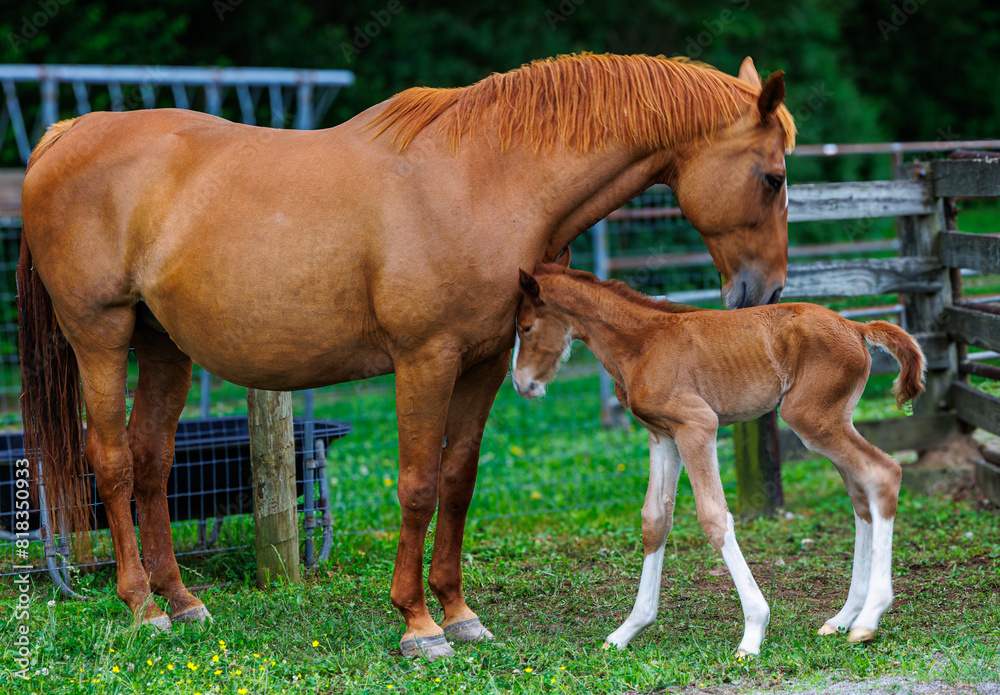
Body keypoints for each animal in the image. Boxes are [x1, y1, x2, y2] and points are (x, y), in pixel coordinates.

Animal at [18, 52, 795, 660]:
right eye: (774, 177)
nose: (765, 292)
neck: (486, 177)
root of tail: (64, 136)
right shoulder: (426, 360)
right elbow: (418, 485)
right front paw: (419, 624)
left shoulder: (484, 362)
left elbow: (457, 478)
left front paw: (460, 613)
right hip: (101, 336)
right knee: (112, 462)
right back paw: (143, 607)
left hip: (164, 348)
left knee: (152, 461)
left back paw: (182, 601)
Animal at [511, 261, 925, 655]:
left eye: (526, 327)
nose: (521, 384)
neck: (643, 343)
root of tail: (855, 326)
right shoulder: (662, 435)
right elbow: (655, 519)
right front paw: (627, 630)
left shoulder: (697, 425)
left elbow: (713, 517)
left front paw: (754, 631)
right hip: (832, 421)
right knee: (861, 496)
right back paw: (842, 618)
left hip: (811, 418)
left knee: (883, 473)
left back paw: (867, 619)